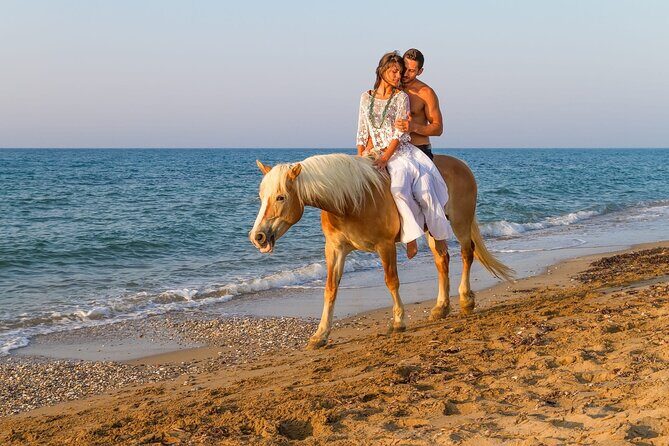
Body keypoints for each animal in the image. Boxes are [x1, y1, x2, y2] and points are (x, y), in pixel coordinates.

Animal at [249, 153, 514, 349]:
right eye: (261, 197)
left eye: (281, 197)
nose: (258, 237)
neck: (351, 200)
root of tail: (463, 166)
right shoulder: (335, 249)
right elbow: (330, 289)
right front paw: (320, 335)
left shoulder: (385, 246)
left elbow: (391, 281)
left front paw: (398, 321)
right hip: (434, 228)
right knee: (442, 260)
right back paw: (441, 308)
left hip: (459, 222)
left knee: (467, 253)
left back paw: (466, 300)